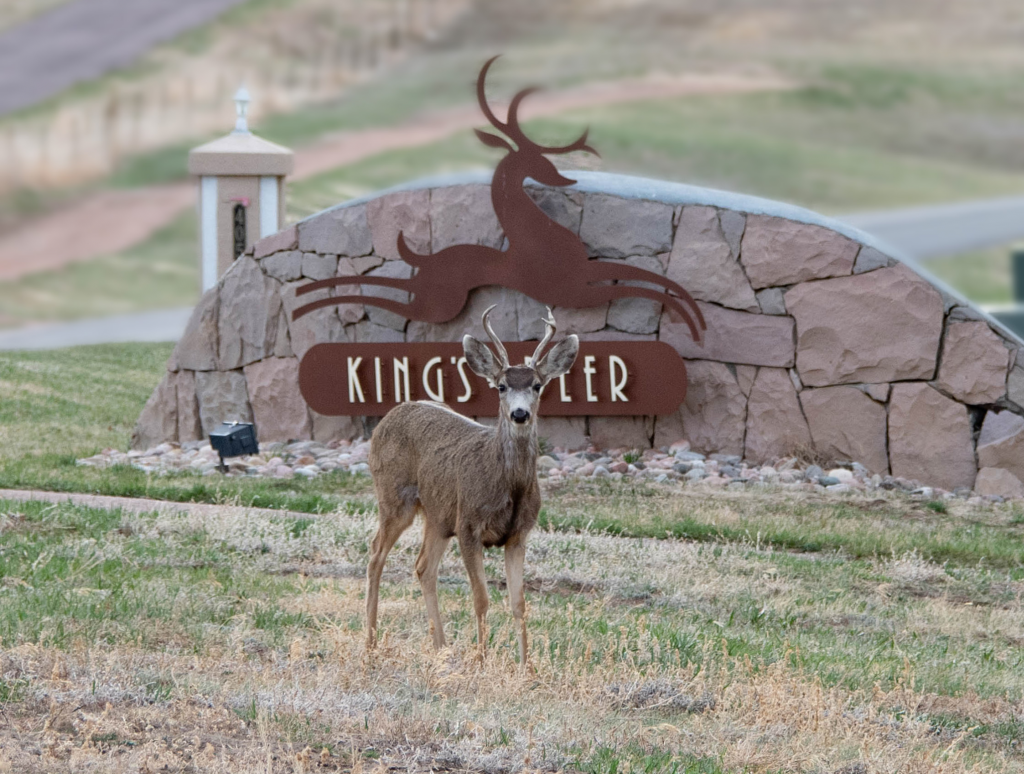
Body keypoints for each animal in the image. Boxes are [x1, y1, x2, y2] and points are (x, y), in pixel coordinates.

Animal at [365, 305, 579, 667]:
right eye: (501, 386)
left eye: (537, 385)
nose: (519, 414)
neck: (507, 486)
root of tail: (388, 418)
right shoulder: (468, 525)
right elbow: (481, 598)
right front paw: (481, 659)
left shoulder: (519, 534)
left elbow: (519, 603)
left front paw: (526, 665)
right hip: (395, 498)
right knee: (375, 554)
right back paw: (370, 643)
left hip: (438, 516)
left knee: (423, 566)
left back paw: (441, 646)